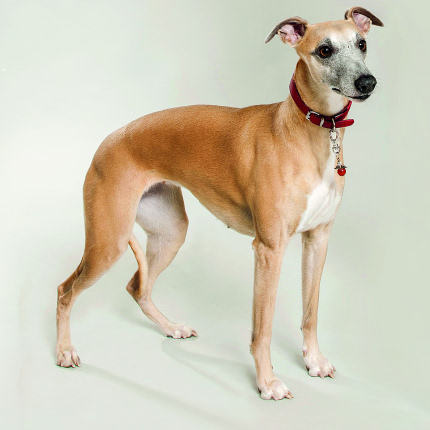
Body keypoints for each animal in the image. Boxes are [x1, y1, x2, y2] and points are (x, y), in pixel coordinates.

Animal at [56, 6, 383, 400]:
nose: (367, 83)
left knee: (138, 286)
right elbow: (263, 328)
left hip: (170, 233)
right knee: (65, 290)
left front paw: (314, 362)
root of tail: (107, 141)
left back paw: (171, 328)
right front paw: (267, 382)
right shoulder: (269, 249)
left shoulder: (317, 239)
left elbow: (311, 311)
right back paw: (64, 351)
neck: (310, 131)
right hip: (108, 241)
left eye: (361, 43)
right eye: (324, 50)